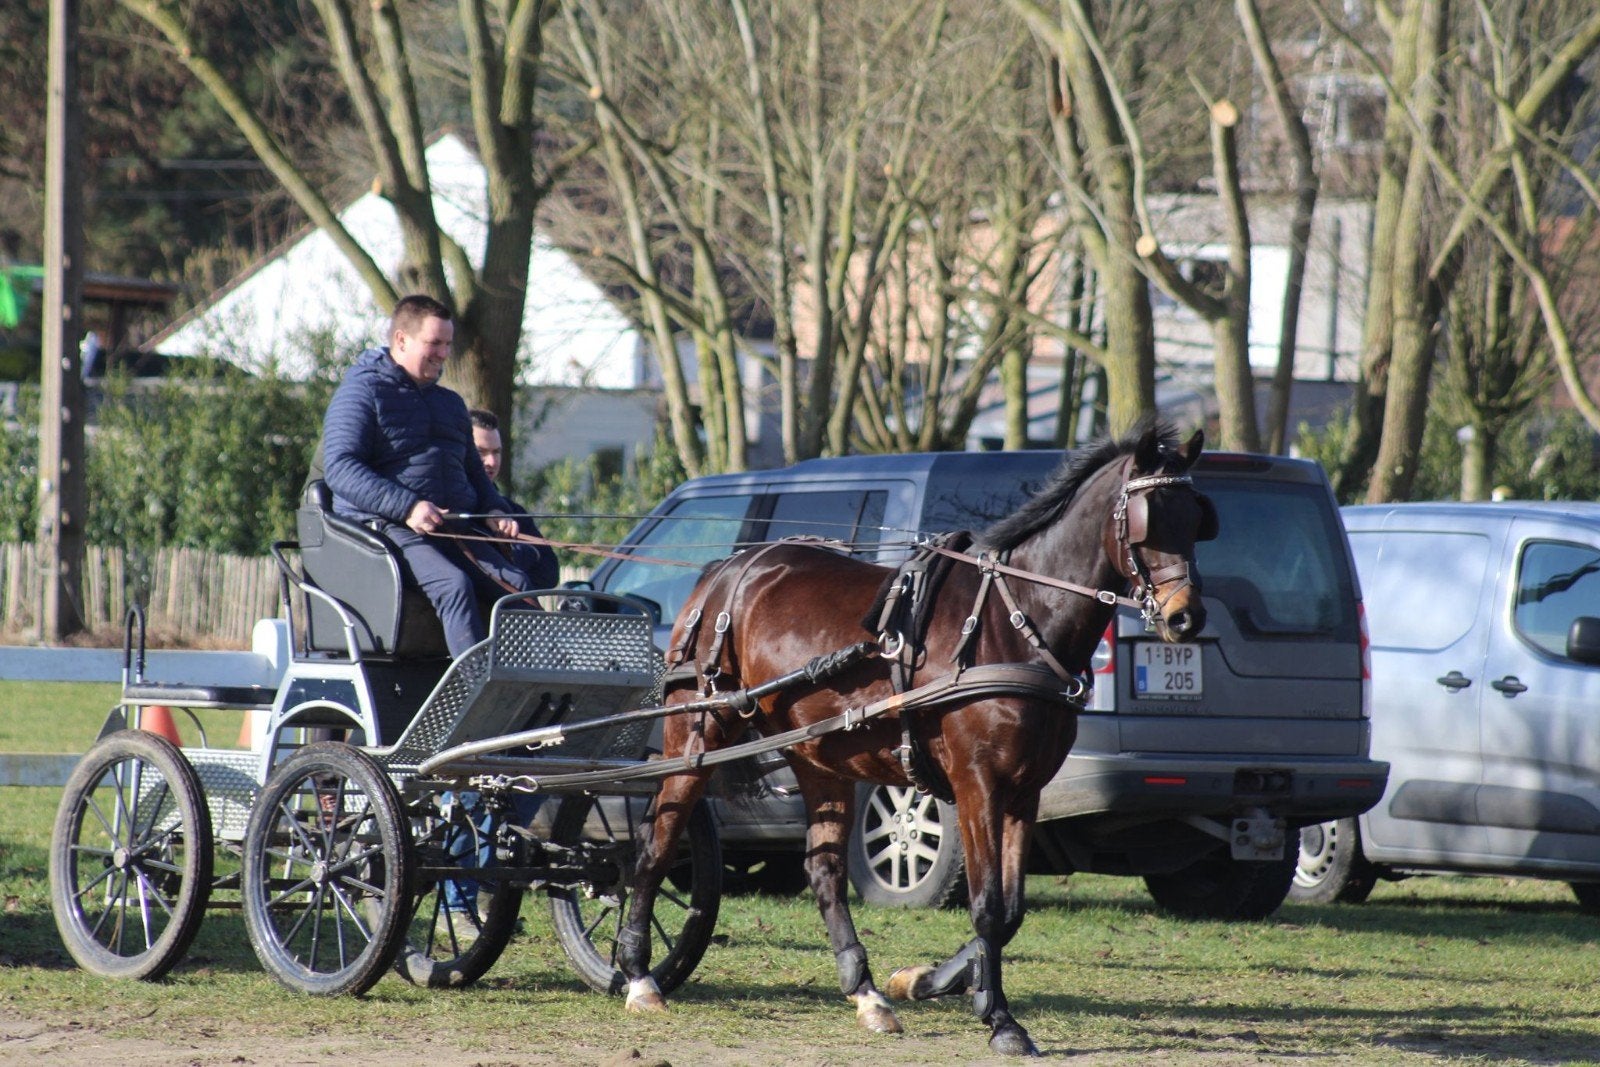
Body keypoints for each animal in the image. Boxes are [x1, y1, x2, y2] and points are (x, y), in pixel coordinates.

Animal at [615, 419, 1217, 1056]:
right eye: (1150, 518)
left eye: (1197, 519)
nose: (1185, 618)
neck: (1015, 624)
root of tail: (730, 568)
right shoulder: (978, 784)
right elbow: (987, 906)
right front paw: (999, 1019)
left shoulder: (1025, 792)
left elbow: (1012, 911)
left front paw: (931, 981)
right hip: (697, 732)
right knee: (657, 840)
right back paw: (639, 977)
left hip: (819, 756)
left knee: (824, 871)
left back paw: (866, 992)